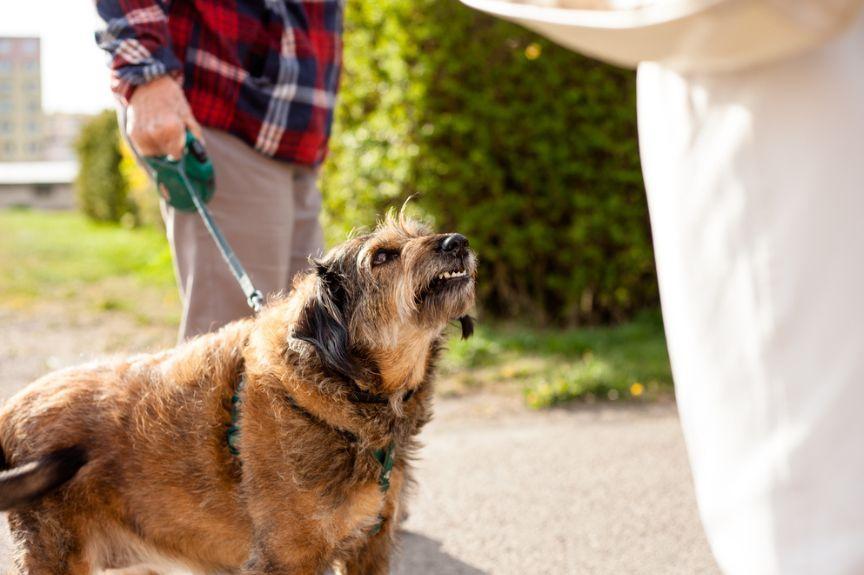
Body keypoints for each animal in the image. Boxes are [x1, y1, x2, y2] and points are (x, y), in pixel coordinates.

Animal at [0, 216, 480, 575]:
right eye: (382, 256)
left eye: (421, 231)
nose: (458, 241)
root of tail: (11, 411)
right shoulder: (290, 560)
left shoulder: (371, 547)